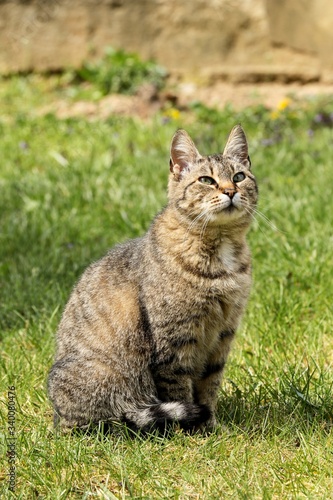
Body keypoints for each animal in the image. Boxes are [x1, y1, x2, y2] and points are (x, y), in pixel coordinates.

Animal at [47, 123, 256, 432]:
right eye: (206, 180)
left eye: (239, 177)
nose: (230, 191)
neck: (220, 248)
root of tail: (58, 415)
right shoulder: (173, 343)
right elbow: (180, 390)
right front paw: (190, 432)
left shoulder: (222, 335)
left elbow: (209, 386)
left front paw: (210, 425)